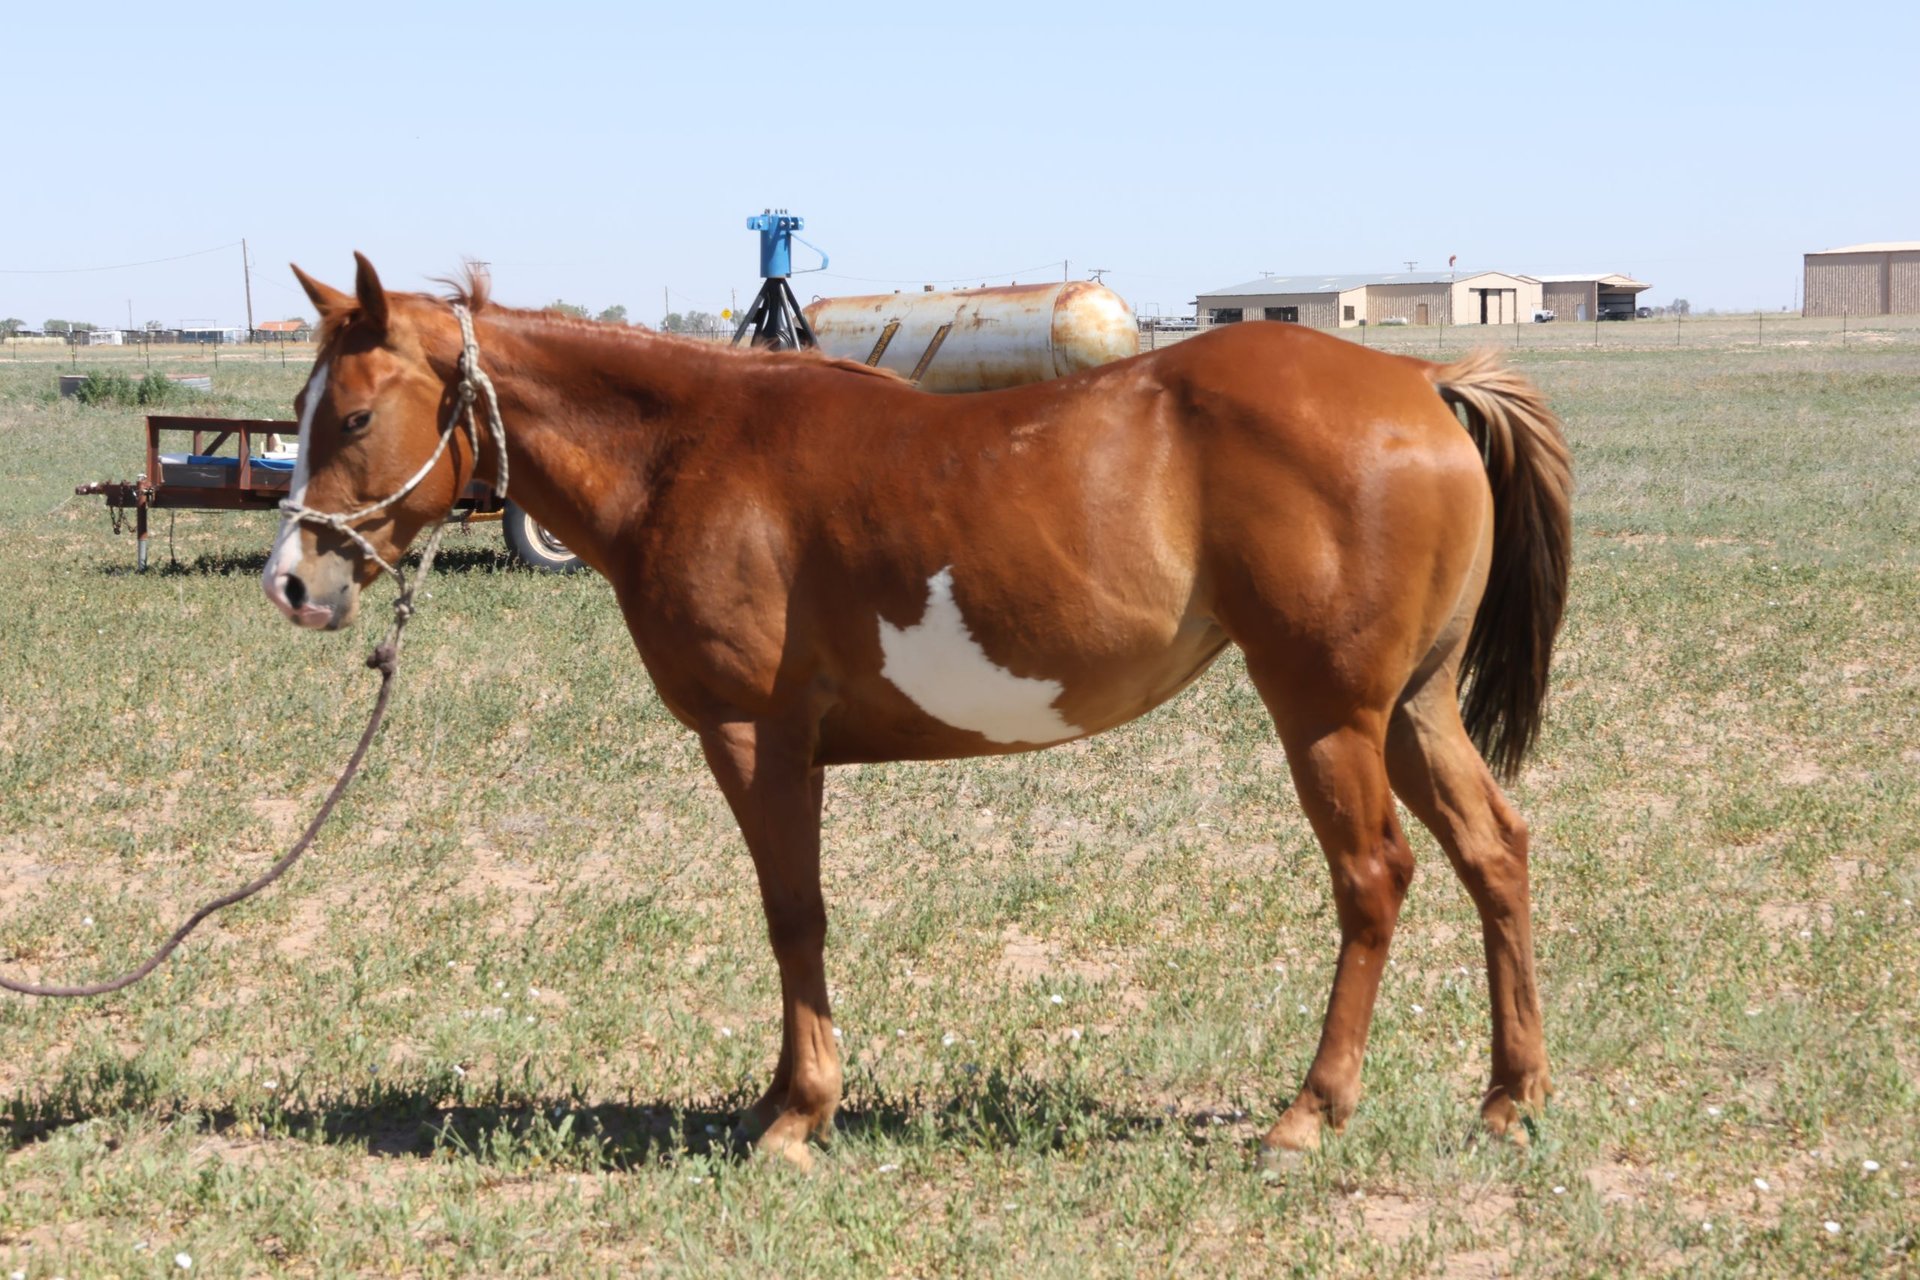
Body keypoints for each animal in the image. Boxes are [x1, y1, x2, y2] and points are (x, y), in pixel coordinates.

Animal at [265, 254, 1572, 1170]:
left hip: (1329, 714)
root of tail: (1423, 381)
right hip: (1412, 709)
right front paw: (781, 1096)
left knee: (1374, 877)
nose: (292, 580)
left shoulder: (757, 738)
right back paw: (1510, 1097)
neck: (691, 452)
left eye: (356, 415)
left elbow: (793, 915)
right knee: (1494, 851)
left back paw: (1311, 1111)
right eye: (305, 404)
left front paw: (797, 1112)